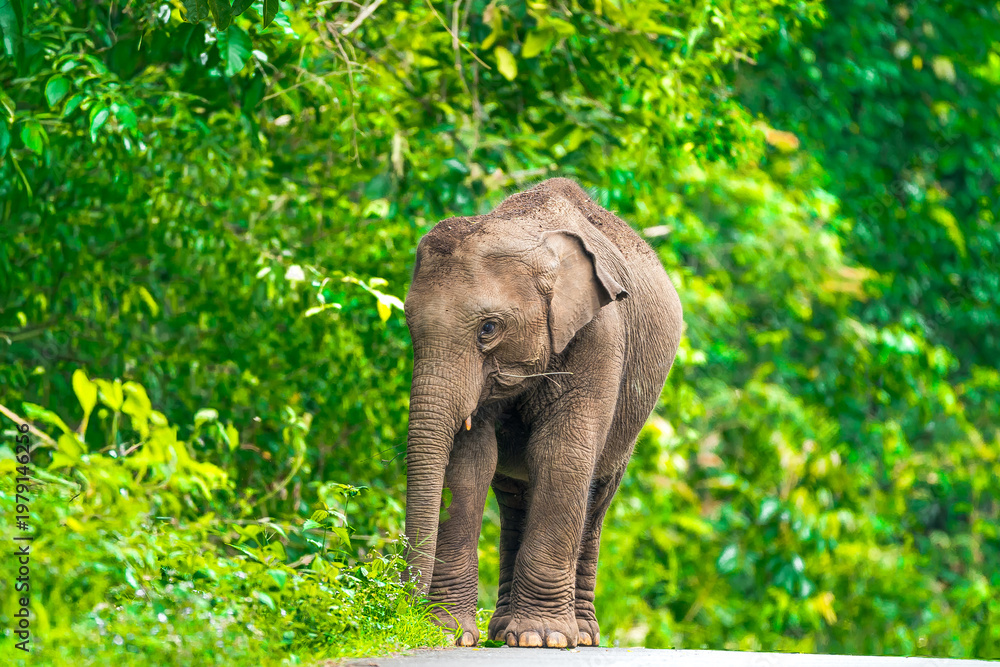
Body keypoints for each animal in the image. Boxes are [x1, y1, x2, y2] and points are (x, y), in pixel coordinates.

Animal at [402, 177, 683, 649]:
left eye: (489, 328)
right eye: (408, 327)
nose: (406, 609)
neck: (527, 231)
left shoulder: (601, 334)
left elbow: (561, 453)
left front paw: (543, 638)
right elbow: (470, 461)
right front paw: (451, 634)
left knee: (596, 497)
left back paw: (579, 635)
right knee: (515, 498)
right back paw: (503, 631)